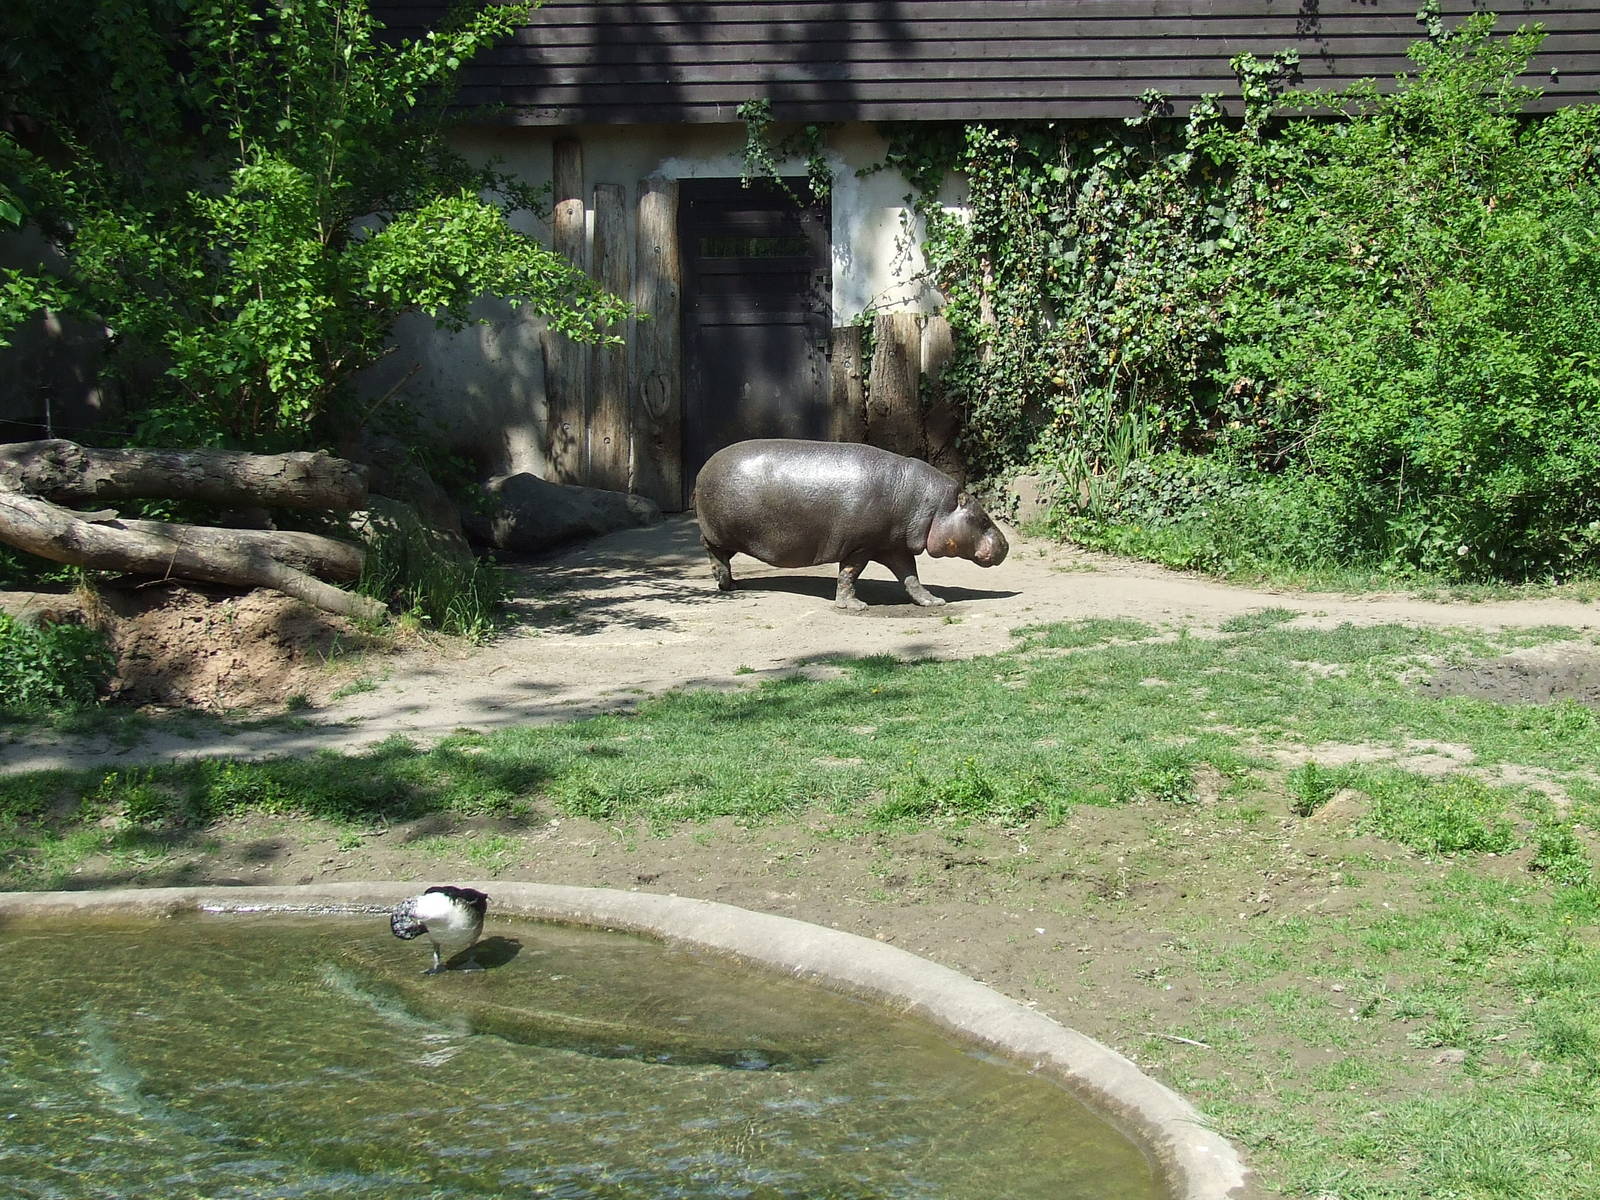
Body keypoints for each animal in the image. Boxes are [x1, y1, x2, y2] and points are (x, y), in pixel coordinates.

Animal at [694, 439, 1009, 610]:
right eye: (983, 519)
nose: (1006, 545)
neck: (931, 505)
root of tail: (702, 468)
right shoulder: (861, 546)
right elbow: (848, 574)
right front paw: (856, 606)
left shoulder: (894, 546)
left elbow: (911, 577)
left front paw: (934, 601)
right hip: (721, 533)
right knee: (710, 549)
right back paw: (724, 583)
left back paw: (733, 584)